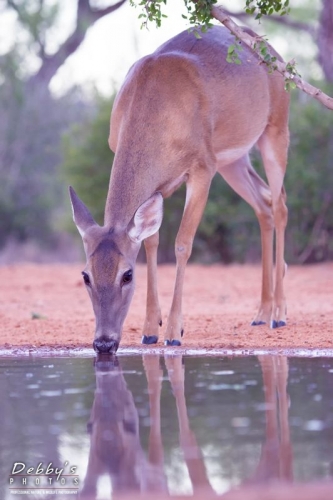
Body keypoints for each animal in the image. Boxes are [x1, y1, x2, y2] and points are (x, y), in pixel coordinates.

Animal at [70, 23, 288, 354]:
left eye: (127, 275)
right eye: (85, 275)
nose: (104, 343)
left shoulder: (202, 167)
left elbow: (183, 243)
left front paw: (174, 331)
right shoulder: (161, 183)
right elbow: (151, 242)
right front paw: (149, 329)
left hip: (275, 131)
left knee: (280, 205)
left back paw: (279, 312)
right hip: (232, 160)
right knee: (263, 205)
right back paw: (261, 312)